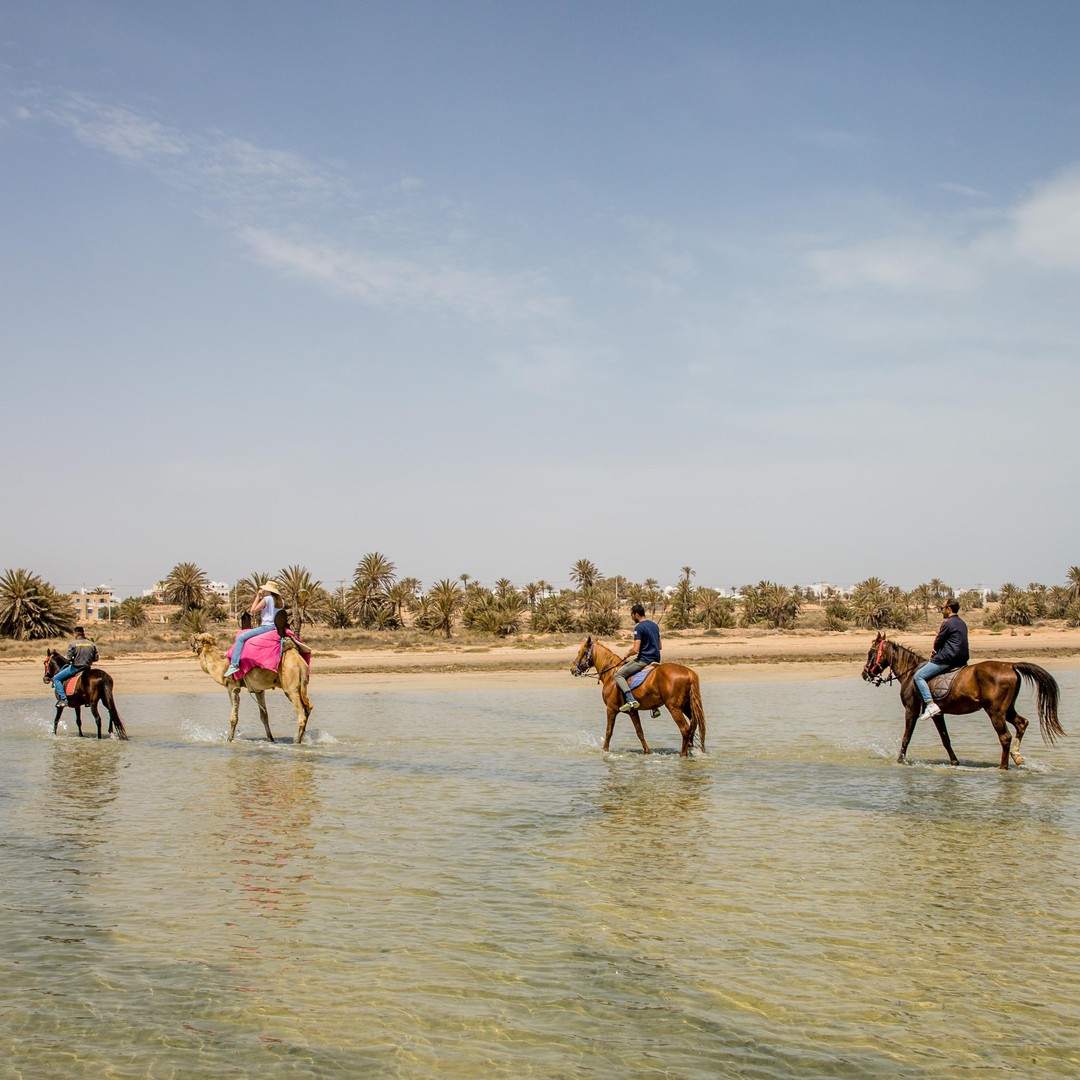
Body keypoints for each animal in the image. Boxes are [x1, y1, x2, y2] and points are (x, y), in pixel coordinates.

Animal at [571, 637, 707, 756]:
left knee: (685, 729)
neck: (611, 673)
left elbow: (609, 732)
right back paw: (690, 746)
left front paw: (605, 751)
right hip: (686, 706)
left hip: (674, 707)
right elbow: (639, 731)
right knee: (693, 725)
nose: (572, 669)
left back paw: (683, 755)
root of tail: (688, 672)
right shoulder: (633, 712)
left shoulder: (610, 709)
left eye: (581, 651)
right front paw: (647, 751)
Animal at [862, 633, 1064, 769]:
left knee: (1005, 737)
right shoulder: (938, 714)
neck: (911, 673)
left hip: (995, 712)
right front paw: (954, 761)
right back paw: (1017, 757)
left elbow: (906, 737)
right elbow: (945, 739)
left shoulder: (911, 710)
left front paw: (900, 761)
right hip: (1007, 710)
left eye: (871, 652)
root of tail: (1010, 665)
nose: (865, 673)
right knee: (1022, 724)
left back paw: (1003, 767)